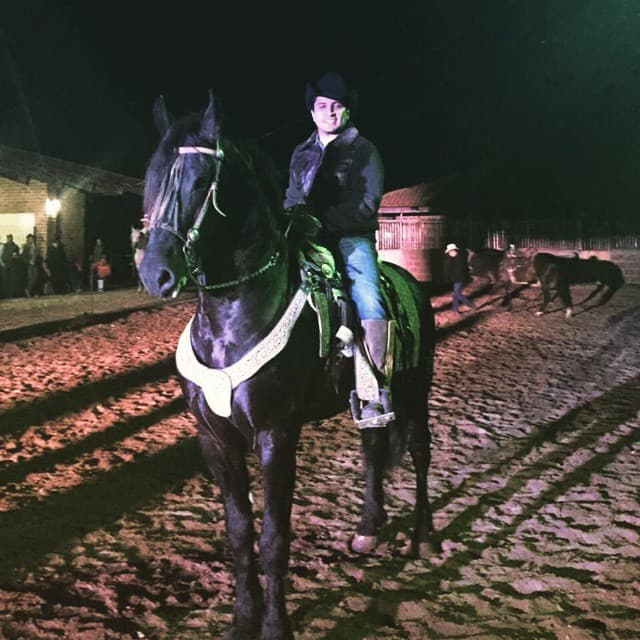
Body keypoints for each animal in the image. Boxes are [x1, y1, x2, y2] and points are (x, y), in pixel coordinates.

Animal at [137, 91, 437, 640]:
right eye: (153, 177)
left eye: (200, 182)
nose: (155, 273)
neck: (233, 318)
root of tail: (411, 284)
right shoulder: (215, 439)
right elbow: (239, 533)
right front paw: (242, 619)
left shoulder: (276, 435)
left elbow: (274, 536)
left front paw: (275, 626)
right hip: (369, 401)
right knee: (373, 450)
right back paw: (368, 530)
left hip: (414, 391)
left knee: (421, 453)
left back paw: (423, 536)